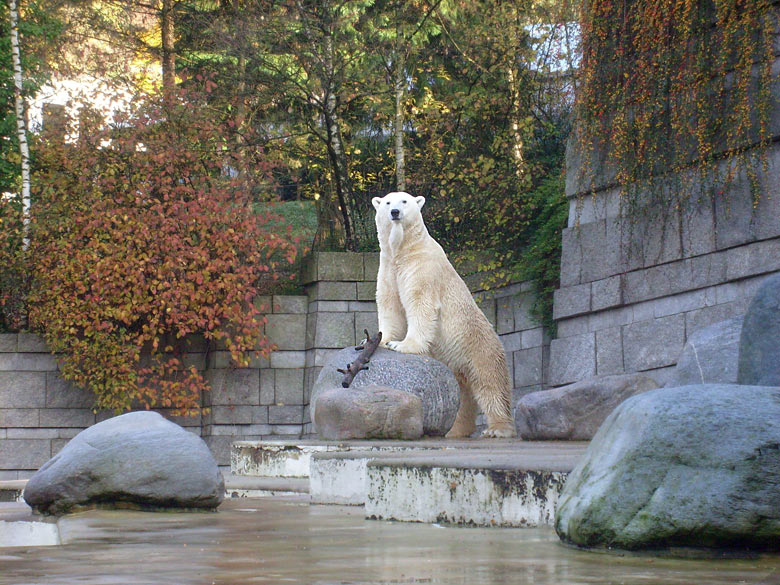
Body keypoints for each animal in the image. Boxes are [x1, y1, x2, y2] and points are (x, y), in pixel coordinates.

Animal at [374, 192, 516, 438]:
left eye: (404, 201)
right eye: (387, 202)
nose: (395, 212)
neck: (403, 249)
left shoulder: (422, 267)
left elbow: (420, 303)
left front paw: (402, 345)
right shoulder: (388, 267)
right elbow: (389, 304)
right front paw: (380, 340)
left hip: (479, 345)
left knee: (491, 384)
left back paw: (497, 429)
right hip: (453, 364)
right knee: (462, 395)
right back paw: (455, 430)